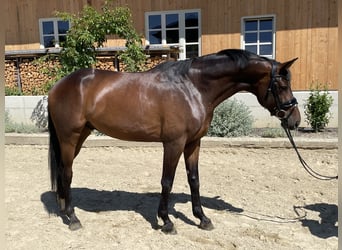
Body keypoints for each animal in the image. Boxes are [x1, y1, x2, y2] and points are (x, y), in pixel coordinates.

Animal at [47, 48, 300, 232]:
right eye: (281, 85)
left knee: (61, 170)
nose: (295, 120)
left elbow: (194, 180)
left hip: (80, 136)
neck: (192, 87)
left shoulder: (193, 143)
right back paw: (73, 218)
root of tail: (58, 86)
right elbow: (166, 181)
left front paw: (202, 218)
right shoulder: (173, 143)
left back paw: (63, 209)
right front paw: (166, 221)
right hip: (69, 137)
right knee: (67, 173)